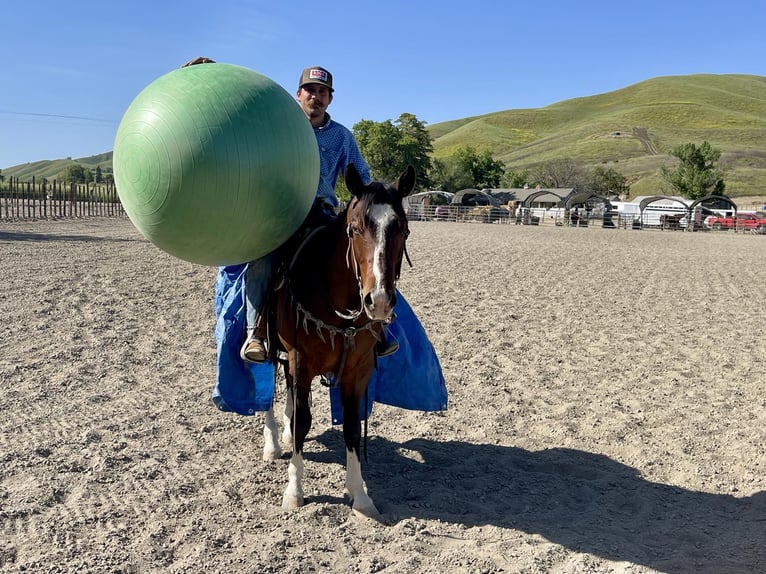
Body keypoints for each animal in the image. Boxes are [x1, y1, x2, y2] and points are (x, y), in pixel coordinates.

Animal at [260, 164, 414, 520]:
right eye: (355, 229)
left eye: (402, 229)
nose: (379, 301)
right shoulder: (301, 361)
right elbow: (303, 421)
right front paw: (294, 491)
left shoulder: (357, 371)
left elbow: (352, 428)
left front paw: (360, 495)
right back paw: (273, 442)